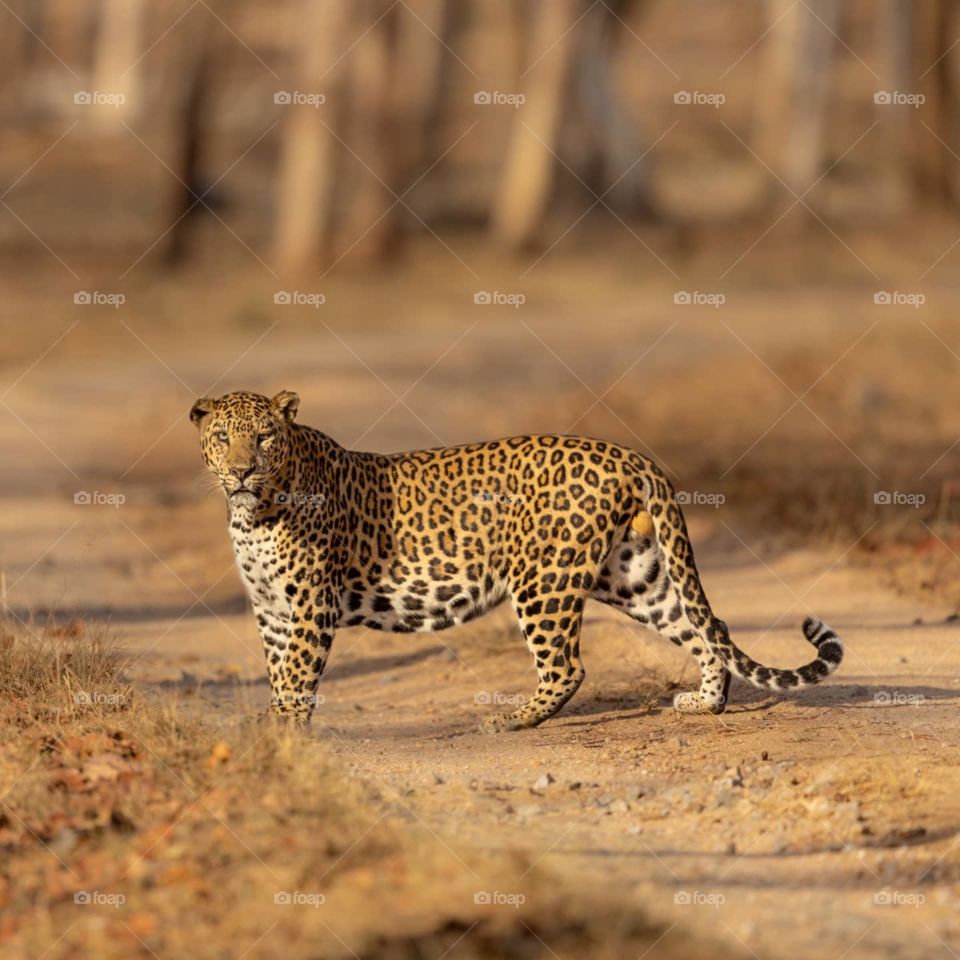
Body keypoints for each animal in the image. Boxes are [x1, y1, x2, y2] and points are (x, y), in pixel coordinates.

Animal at [190, 389, 844, 732]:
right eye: (223, 437)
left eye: (265, 437)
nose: (242, 470)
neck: (253, 513)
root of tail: (631, 455)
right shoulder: (271, 609)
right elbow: (279, 672)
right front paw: (272, 725)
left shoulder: (310, 605)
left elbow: (299, 675)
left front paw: (286, 733)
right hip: (633, 574)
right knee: (710, 626)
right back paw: (705, 702)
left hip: (544, 579)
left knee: (567, 665)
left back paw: (512, 719)